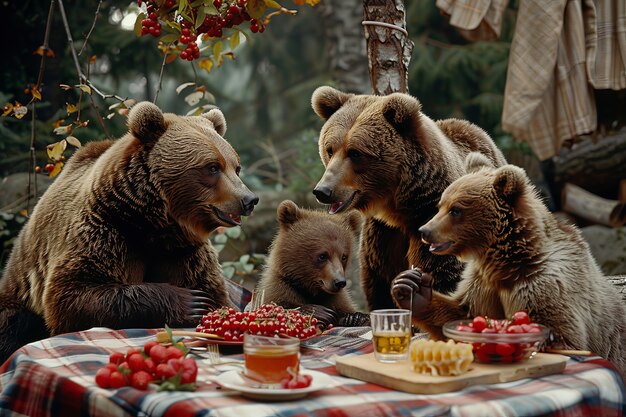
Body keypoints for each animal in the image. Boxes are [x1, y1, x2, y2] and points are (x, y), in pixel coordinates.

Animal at [0, 102, 258, 362]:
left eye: (236, 167)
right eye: (212, 167)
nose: (249, 199)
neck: (151, 225)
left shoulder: (184, 251)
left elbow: (214, 292)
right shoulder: (105, 231)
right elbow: (73, 294)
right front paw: (192, 302)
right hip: (19, 293)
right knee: (14, 323)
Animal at [310, 86, 504, 310]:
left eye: (355, 153)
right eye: (330, 149)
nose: (323, 190)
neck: (400, 208)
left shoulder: (436, 226)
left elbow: (443, 277)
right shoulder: (382, 236)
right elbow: (378, 287)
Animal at [390, 158, 624, 378]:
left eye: (455, 210)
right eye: (441, 205)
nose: (425, 230)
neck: (507, 264)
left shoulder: (544, 286)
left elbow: (564, 337)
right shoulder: (483, 284)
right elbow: (461, 311)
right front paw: (411, 287)